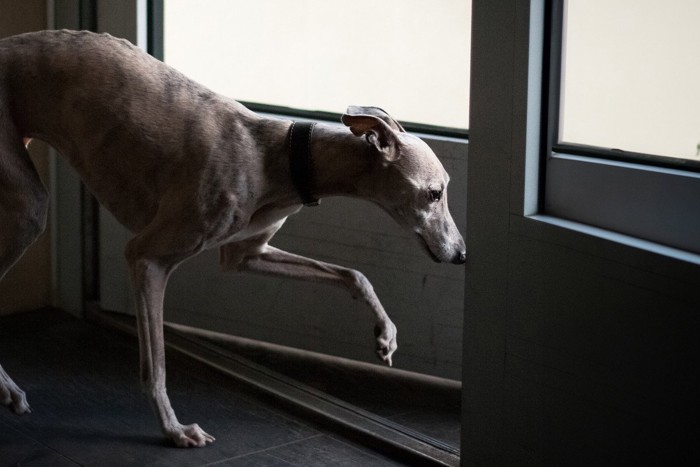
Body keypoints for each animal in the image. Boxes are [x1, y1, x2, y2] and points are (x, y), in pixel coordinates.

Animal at [2, 31, 468, 448]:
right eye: (434, 193)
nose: (462, 255)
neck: (282, 157)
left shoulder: (247, 253)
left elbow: (353, 274)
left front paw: (385, 335)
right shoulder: (146, 258)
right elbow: (156, 365)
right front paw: (174, 429)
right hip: (28, 208)